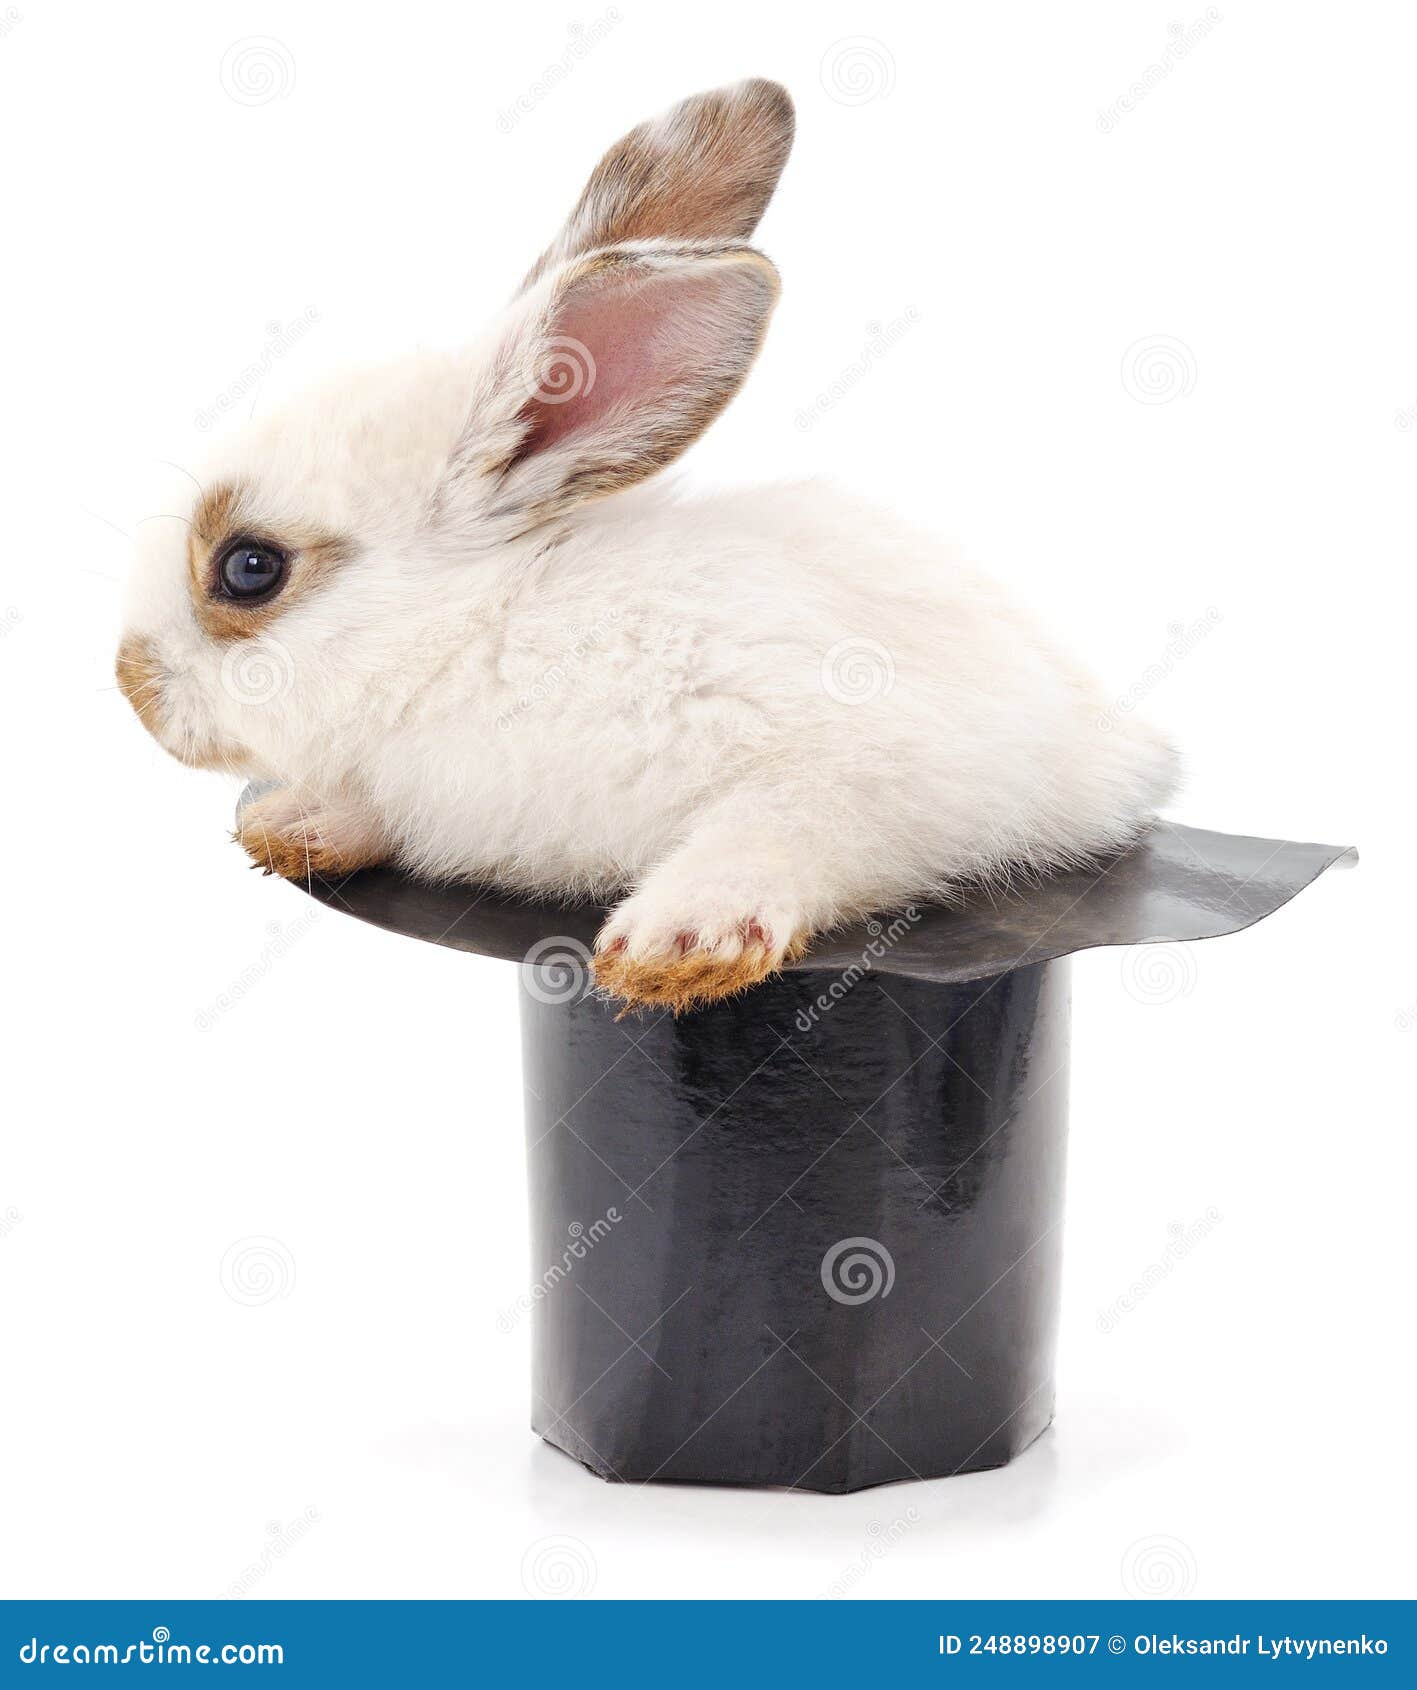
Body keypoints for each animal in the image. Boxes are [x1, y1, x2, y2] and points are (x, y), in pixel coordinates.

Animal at [116, 77, 1177, 1013]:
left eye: (249, 569)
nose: (133, 689)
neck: (483, 637)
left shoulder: (857, 766)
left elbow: (783, 835)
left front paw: (678, 947)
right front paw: (292, 826)